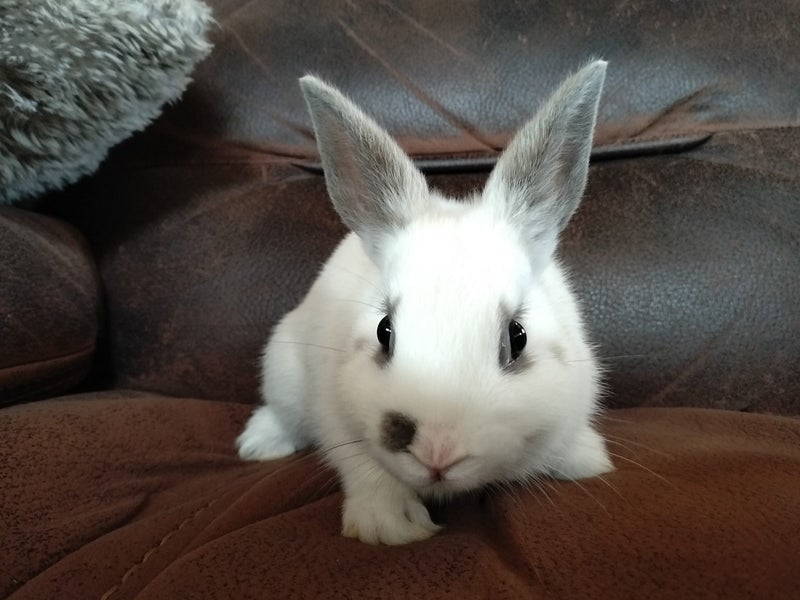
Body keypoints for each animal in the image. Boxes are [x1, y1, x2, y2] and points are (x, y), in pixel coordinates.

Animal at [237, 60, 613, 545]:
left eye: (518, 337)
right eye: (384, 330)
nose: (438, 451)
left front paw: (587, 458)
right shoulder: (336, 417)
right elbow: (364, 467)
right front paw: (390, 526)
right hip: (282, 369)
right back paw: (257, 445)